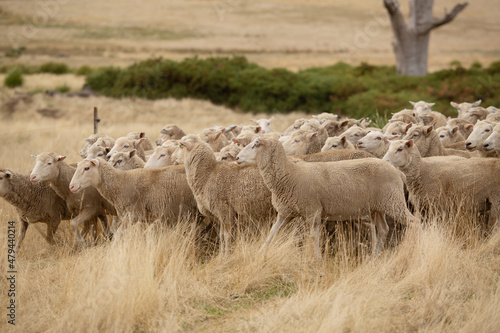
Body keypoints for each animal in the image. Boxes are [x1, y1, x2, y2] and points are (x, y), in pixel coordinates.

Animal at [236, 136, 416, 258]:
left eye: (255, 145)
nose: (237, 158)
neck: (289, 174)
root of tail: (398, 173)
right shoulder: (285, 213)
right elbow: (272, 234)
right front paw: (260, 253)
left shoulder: (313, 211)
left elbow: (313, 236)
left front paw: (317, 258)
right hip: (378, 207)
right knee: (383, 229)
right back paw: (374, 256)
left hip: (393, 201)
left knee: (414, 223)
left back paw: (415, 249)